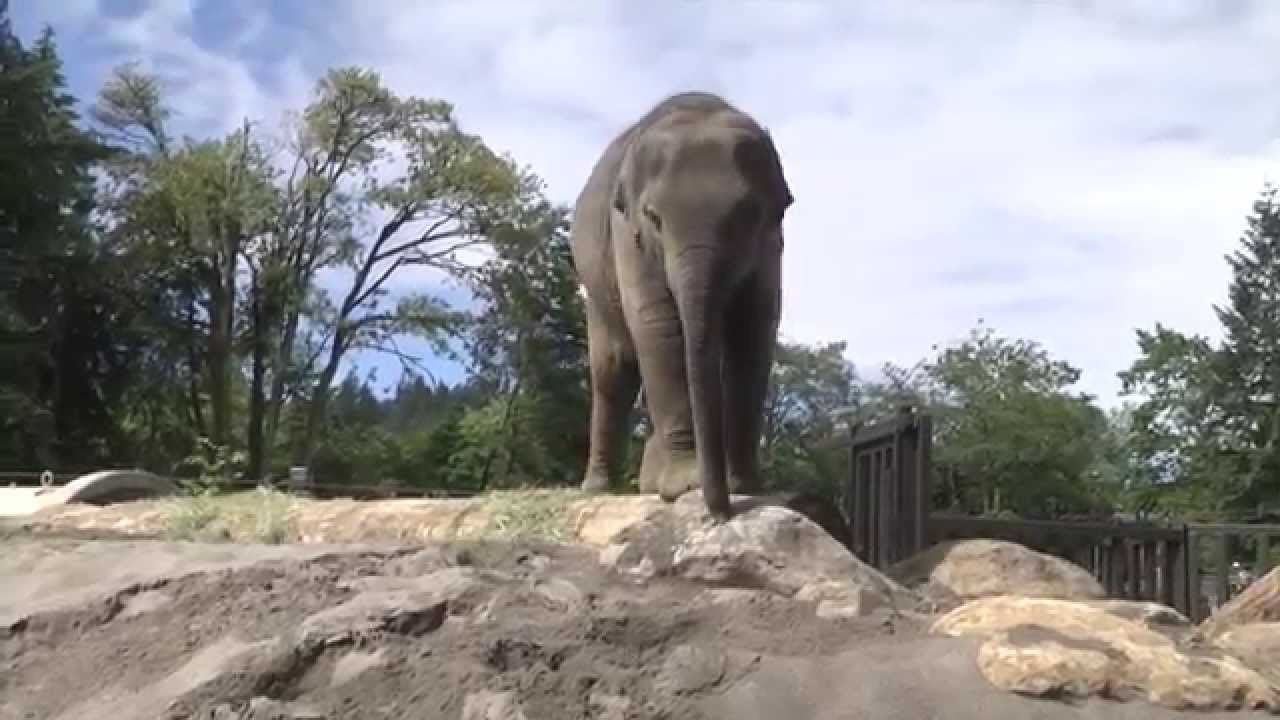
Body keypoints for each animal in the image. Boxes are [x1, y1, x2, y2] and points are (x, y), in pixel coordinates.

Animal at [568, 91, 794, 522]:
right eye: (654, 218)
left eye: (749, 216)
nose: (721, 514)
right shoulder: (628, 235)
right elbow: (658, 325)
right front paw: (685, 485)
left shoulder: (773, 243)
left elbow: (754, 327)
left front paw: (746, 485)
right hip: (596, 292)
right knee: (612, 371)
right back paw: (598, 488)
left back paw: (646, 483)